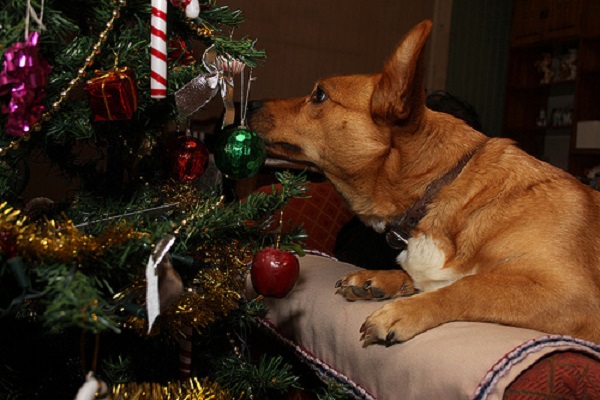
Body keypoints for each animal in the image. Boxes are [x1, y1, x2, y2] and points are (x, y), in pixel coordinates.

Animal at [246, 18, 600, 346]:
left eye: (319, 95)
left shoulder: (573, 296)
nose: (247, 104)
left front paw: (406, 310)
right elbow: (422, 278)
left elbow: (471, 286)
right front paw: (381, 279)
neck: (440, 191)